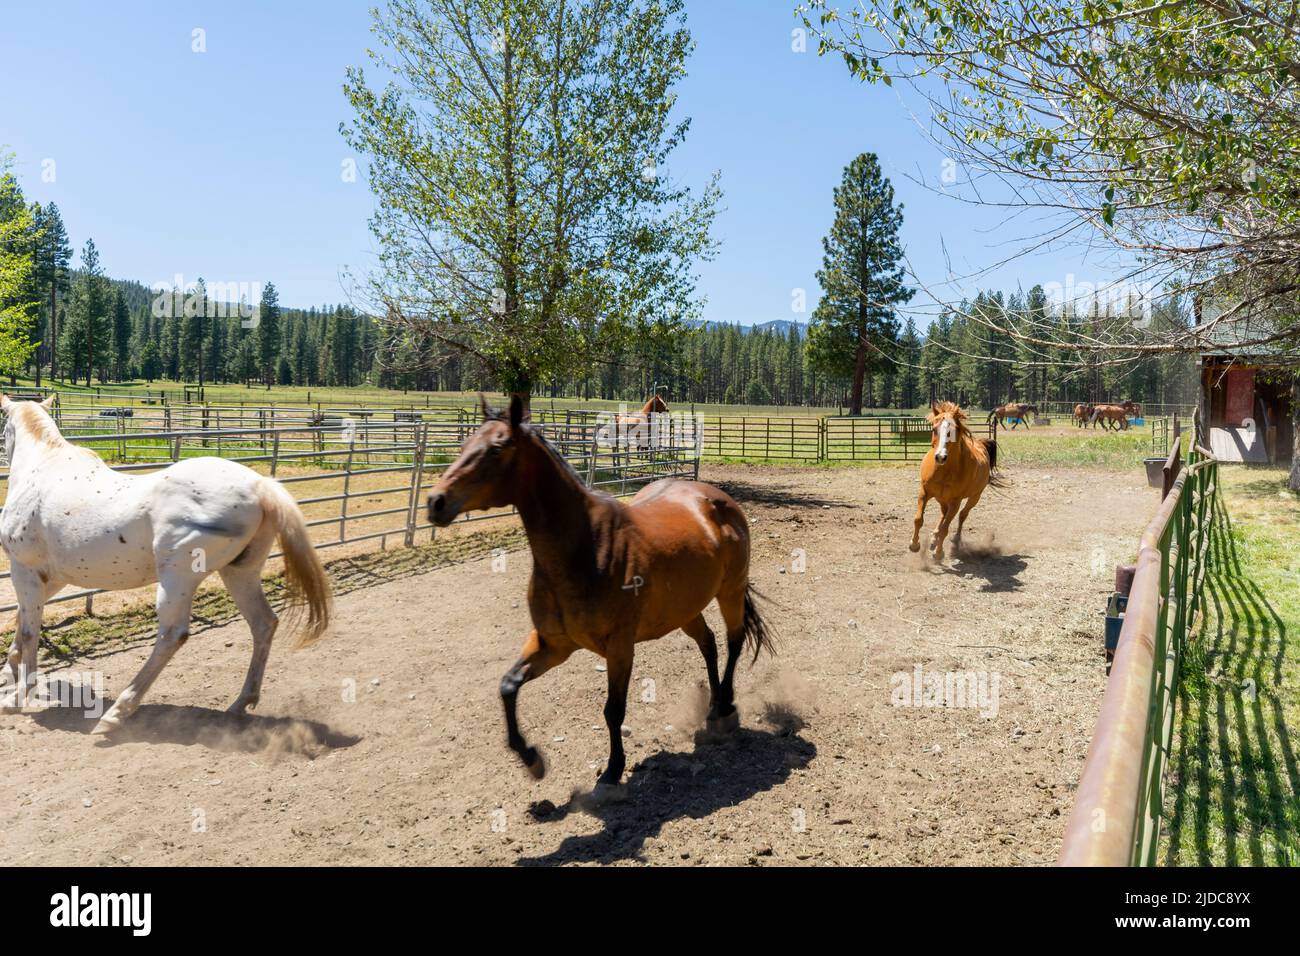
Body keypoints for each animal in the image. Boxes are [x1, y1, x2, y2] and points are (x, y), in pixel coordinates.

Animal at [0, 395, 332, 733]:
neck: (42, 468)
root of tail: (259, 486)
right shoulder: (52, 578)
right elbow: (20, 620)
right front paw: (9, 672)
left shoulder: (24, 570)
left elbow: (29, 631)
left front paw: (17, 697)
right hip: (240, 573)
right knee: (263, 623)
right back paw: (241, 702)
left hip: (177, 580)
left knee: (173, 635)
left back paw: (117, 713)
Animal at [427, 395, 773, 797]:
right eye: (466, 443)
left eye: (497, 449)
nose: (435, 501)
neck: (586, 547)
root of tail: (717, 499)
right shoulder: (553, 644)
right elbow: (508, 686)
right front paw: (532, 759)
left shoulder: (620, 646)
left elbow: (613, 709)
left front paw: (612, 769)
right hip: (686, 610)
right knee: (709, 645)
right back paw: (714, 705)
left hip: (729, 592)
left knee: (734, 641)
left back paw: (727, 706)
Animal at [910, 401, 1006, 561]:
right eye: (934, 429)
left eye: (953, 430)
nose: (940, 457)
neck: (944, 471)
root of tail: (981, 443)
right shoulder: (924, 492)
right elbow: (918, 519)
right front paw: (914, 545)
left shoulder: (956, 501)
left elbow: (946, 528)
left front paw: (939, 553)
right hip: (941, 498)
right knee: (943, 514)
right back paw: (934, 537)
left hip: (974, 497)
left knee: (962, 515)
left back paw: (955, 540)